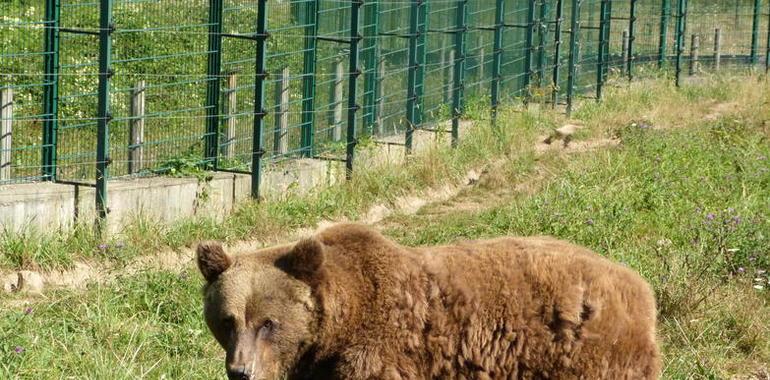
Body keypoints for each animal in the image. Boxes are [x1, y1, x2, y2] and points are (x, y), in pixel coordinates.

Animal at [195, 223, 656, 380]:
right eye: (227, 320)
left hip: (587, 356)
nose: (241, 372)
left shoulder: (380, 353)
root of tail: (640, 286)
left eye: (268, 322)